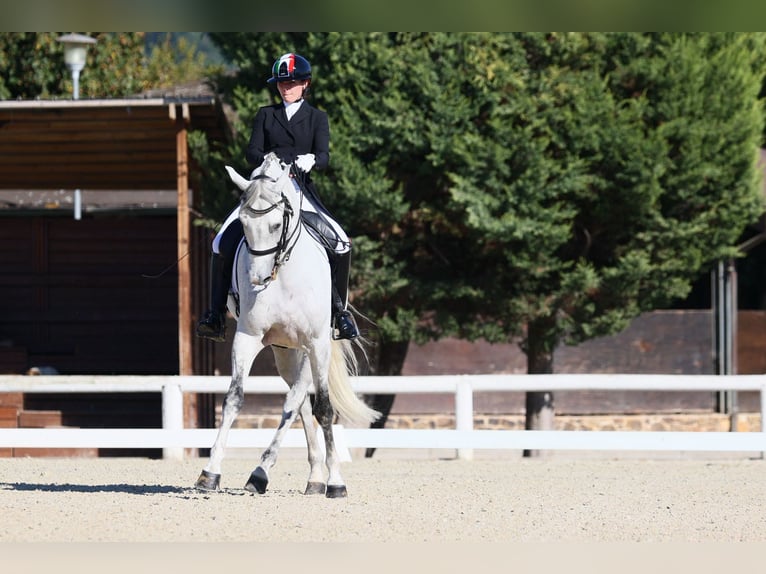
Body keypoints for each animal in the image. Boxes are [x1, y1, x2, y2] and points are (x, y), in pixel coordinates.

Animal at [195, 152, 379, 498]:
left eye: (277, 224)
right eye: (243, 225)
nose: (257, 279)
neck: (284, 275)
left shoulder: (317, 343)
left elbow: (324, 408)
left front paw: (337, 482)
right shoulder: (248, 337)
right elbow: (234, 399)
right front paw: (209, 473)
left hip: (311, 349)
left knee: (297, 403)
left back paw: (293, 475)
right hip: (285, 350)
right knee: (299, 404)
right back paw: (295, 476)